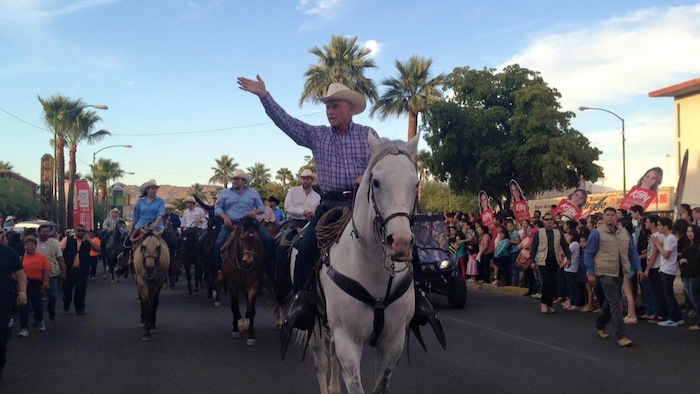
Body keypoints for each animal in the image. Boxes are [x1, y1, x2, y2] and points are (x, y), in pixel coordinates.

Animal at [221, 214, 268, 346]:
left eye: (257, 239)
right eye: (242, 239)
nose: (248, 261)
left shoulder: (254, 284)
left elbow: (251, 310)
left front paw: (251, 335)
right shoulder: (232, 284)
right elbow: (234, 306)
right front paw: (235, 329)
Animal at [308, 134, 418, 392]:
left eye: (416, 184)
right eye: (375, 182)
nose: (400, 242)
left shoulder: (393, 342)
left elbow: (380, 385)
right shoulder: (348, 341)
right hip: (316, 324)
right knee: (320, 362)